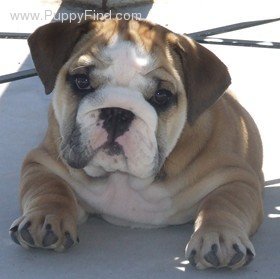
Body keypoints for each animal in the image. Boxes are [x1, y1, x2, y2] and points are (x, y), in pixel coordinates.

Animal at [10, 18, 264, 270]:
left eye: (162, 95)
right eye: (81, 81)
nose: (117, 112)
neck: (124, 179)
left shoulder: (236, 177)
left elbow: (223, 204)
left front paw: (220, 236)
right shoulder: (43, 162)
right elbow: (50, 189)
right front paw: (44, 218)